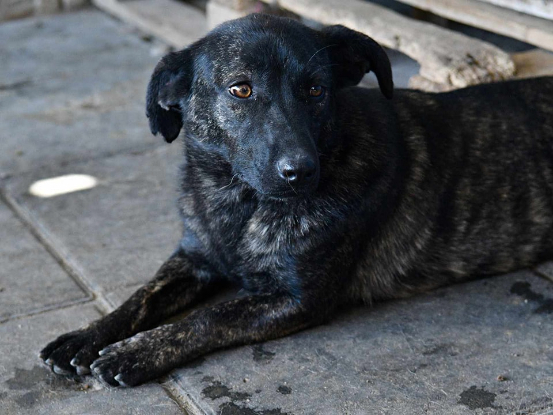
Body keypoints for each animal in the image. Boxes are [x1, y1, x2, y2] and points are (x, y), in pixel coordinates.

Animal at [40, 13, 553, 387]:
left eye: (315, 89)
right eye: (241, 88)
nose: (300, 171)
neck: (239, 201)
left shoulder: (296, 298)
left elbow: (208, 317)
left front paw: (138, 351)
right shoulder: (193, 260)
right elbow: (138, 298)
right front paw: (85, 337)